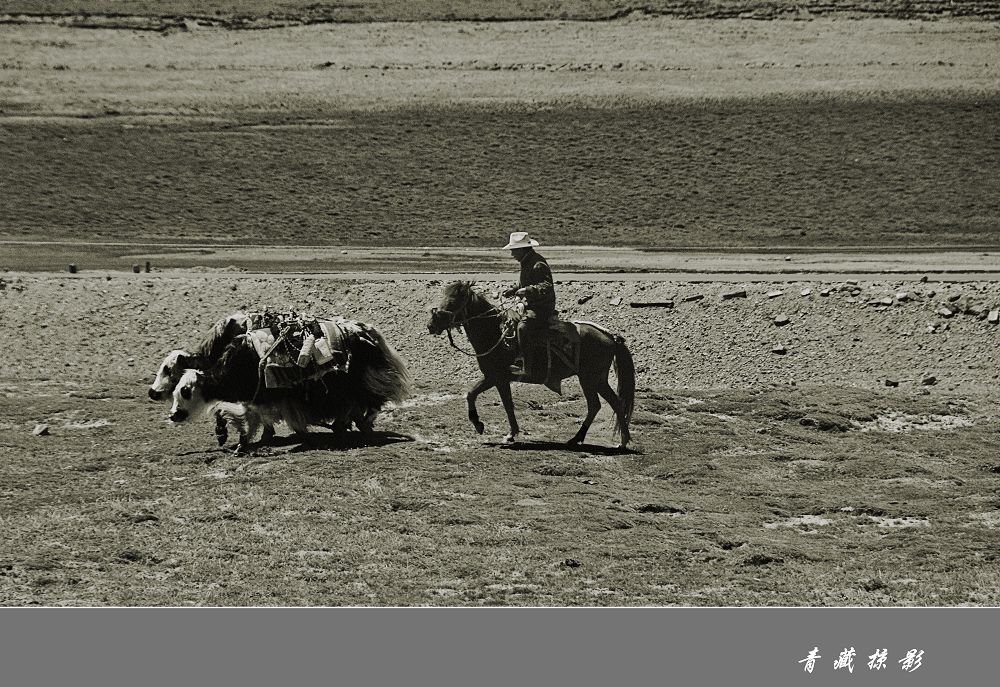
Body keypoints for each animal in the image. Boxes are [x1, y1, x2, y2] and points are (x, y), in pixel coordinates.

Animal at [170, 326, 412, 454]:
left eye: (185, 391)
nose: (173, 415)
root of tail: (370, 334)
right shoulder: (256, 399)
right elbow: (250, 419)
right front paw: (242, 442)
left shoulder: (277, 398)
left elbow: (287, 420)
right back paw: (344, 426)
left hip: (362, 381)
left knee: (370, 402)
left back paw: (357, 426)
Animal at [428, 280, 632, 452]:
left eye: (452, 301)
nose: (431, 325)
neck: (495, 333)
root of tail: (610, 337)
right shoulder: (500, 379)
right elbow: (505, 403)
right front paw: (510, 433)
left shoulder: (495, 376)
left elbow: (473, 394)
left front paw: (479, 424)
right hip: (597, 379)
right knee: (607, 404)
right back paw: (592, 439)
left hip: (590, 378)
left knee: (603, 404)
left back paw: (615, 441)